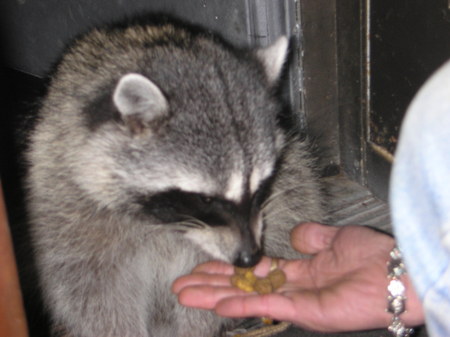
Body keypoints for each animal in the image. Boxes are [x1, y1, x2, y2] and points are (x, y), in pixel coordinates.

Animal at [25, 15, 326, 336]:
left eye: (260, 188)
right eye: (206, 200)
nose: (250, 258)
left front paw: (198, 328)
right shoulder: (65, 196)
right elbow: (91, 287)